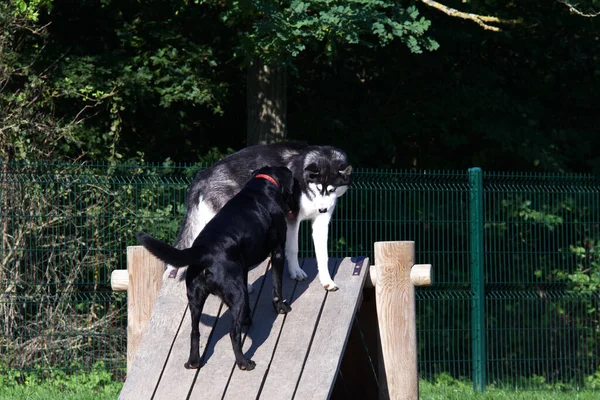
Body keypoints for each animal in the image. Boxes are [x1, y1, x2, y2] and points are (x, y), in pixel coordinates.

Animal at [137, 166, 296, 372]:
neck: (263, 185)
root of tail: (203, 251)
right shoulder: (277, 251)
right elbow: (277, 286)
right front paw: (282, 307)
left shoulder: (242, 270)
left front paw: (247, 319)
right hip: (235, 293)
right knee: (233, 334)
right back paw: (244, 362)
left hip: (195, 300)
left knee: (194, 332)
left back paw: (194, 362)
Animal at [170, 143, 352, 290]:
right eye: (318, 189)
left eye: (332, 190)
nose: (322, 209)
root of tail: (202, 175)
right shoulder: (292, 220)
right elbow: (293, 248)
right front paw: (295, 271)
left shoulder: (321, 223)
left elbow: (323, 255)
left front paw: (327, 281)